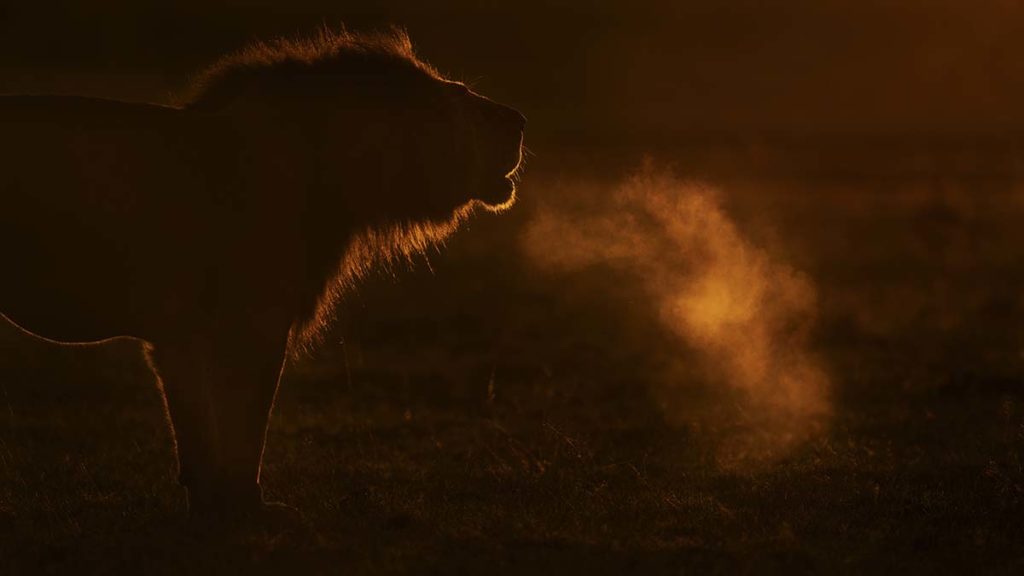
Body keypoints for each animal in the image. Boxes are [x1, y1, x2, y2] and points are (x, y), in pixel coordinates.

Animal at [0, 28, 528, 520]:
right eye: (460, 93)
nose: (521, 121)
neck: (329, 172)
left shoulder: (181, 338)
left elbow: (200, 431)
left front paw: (210, 507)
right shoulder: (252, 323)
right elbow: (244, 428)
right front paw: (249, 508)